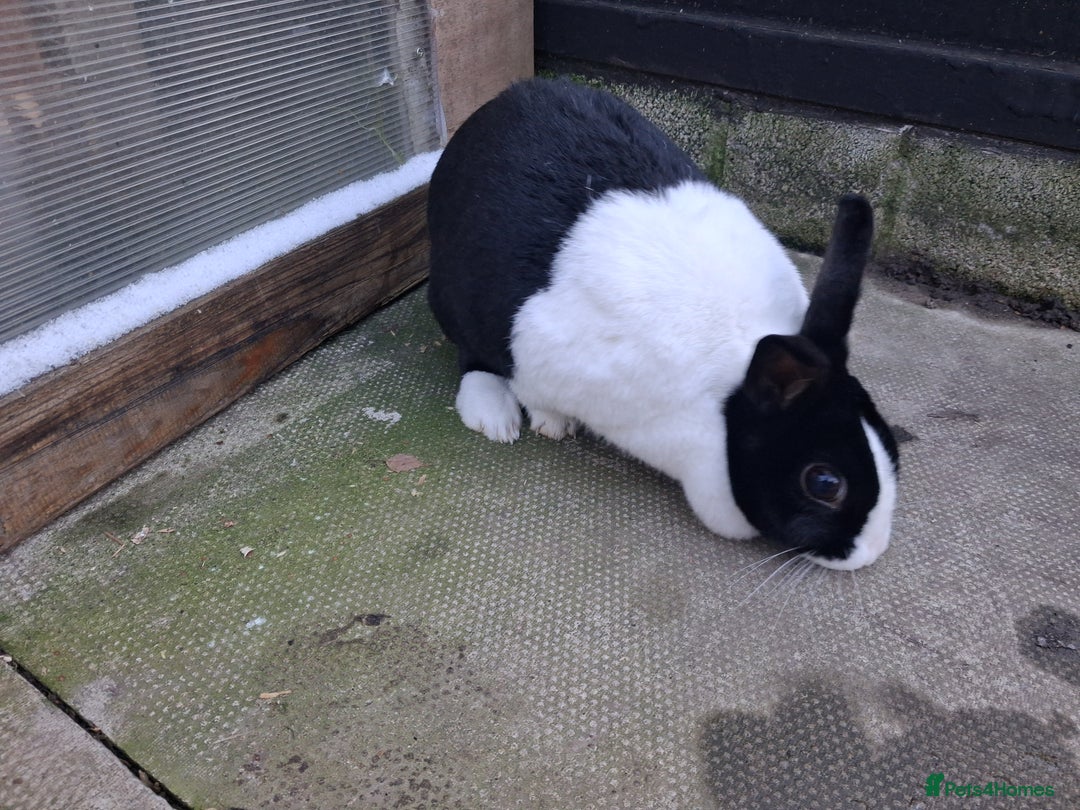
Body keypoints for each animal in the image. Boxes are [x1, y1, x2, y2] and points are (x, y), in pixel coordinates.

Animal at [426, 78, 899, 570]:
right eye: (825, 483)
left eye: (890, 442)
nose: (871, 551)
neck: (728, 394)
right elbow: (533, 390)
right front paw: (551, 421)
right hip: (459, 295)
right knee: (474, 355)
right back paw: (494, 416)